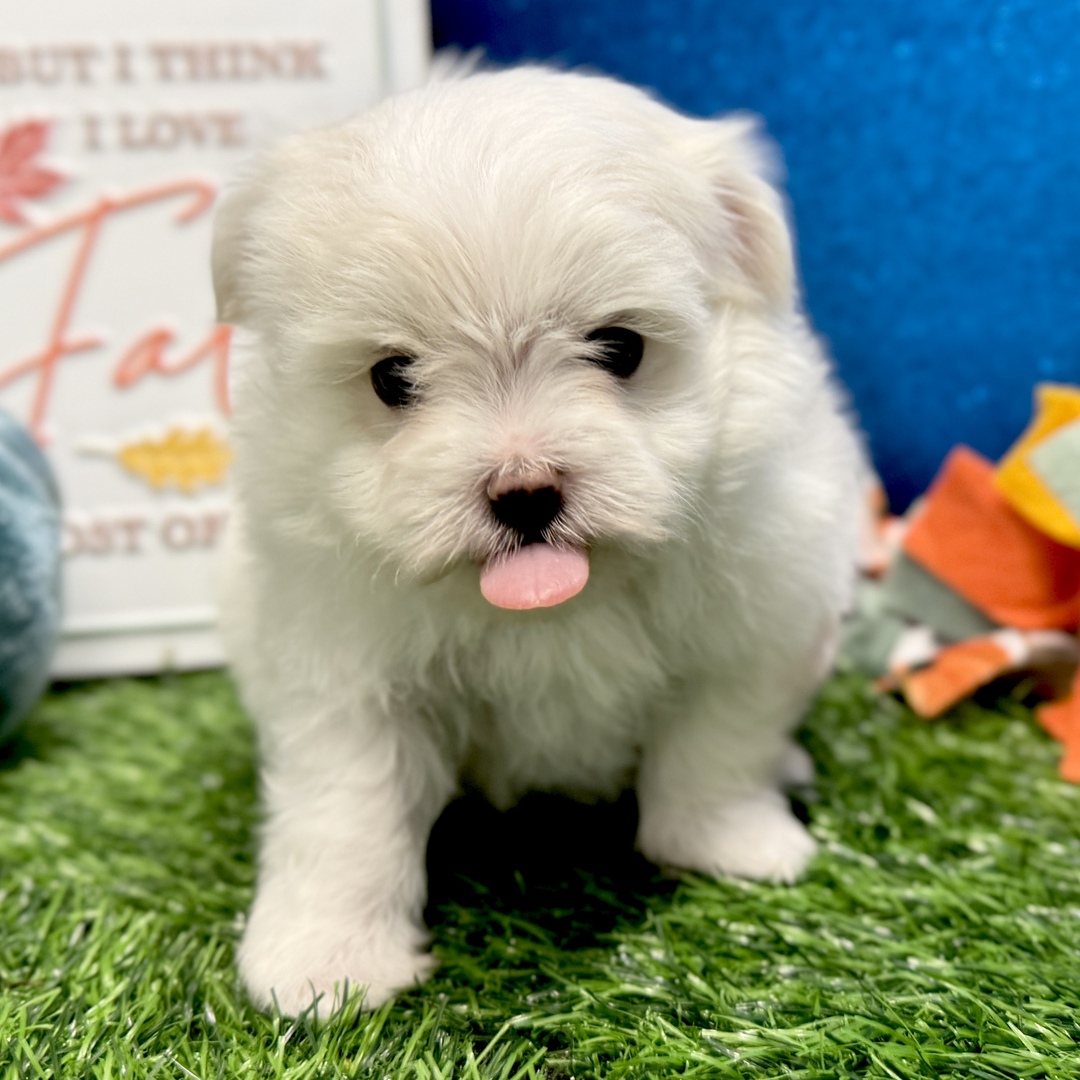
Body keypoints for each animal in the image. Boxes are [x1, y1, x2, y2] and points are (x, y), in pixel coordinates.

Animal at [212, 64, 865, 1016]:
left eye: (621, 347)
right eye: (392, 378)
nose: (524, 493)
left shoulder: (756, 622)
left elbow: (717, 745)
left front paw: (726, 843)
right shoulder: (342, 666)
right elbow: (347, 810)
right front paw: (325, 960)